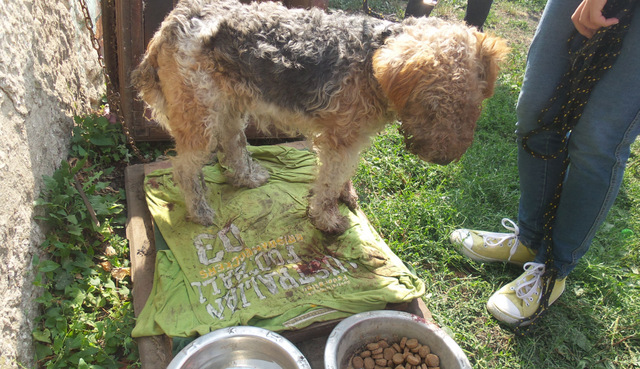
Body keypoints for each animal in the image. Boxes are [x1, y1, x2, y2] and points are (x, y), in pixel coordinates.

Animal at [132, 0, 508, 233]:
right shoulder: (340, 139)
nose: (445, 159)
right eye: (431, 105)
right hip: (199, 114)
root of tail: (170, 21)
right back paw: (200, 212)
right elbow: (327, 183)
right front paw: (328, 220)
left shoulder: (353, 137)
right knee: (185, 168)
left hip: (229, 105)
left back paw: (248, 178)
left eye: (474, 104)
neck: (373, 63)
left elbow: (343, 175)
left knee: (233, 146)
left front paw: (348, 196)